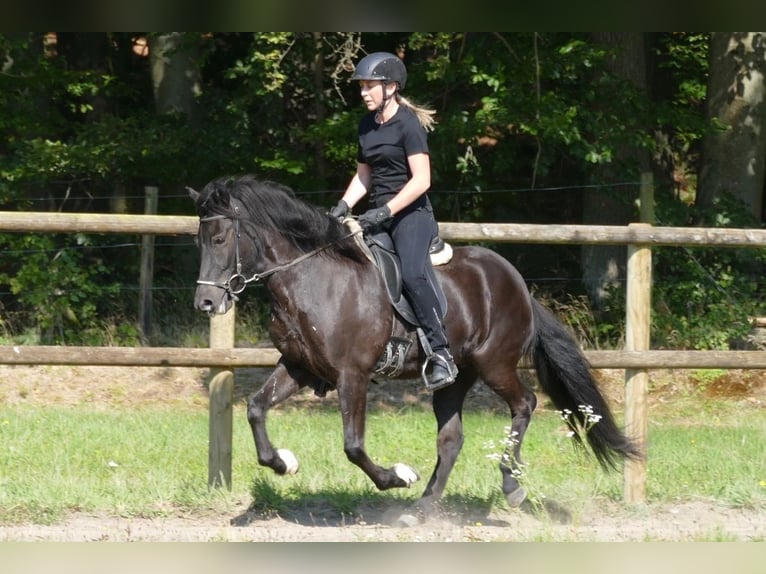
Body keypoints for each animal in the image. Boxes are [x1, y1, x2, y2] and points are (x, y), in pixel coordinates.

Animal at [190, 174, 640, 516]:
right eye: (200, 240)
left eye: (221, 238)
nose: (206, 303)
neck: (310, 277)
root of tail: (517, 282)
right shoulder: (300, 367)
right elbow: (255, 408)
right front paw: (284, 462)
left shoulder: (352, 375)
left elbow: (353, 446)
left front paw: (398, 476)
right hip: (455, 377)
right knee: (452, 438)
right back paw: (422, 508)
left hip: (495, 364)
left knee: (524, 404)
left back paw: (510, 486)